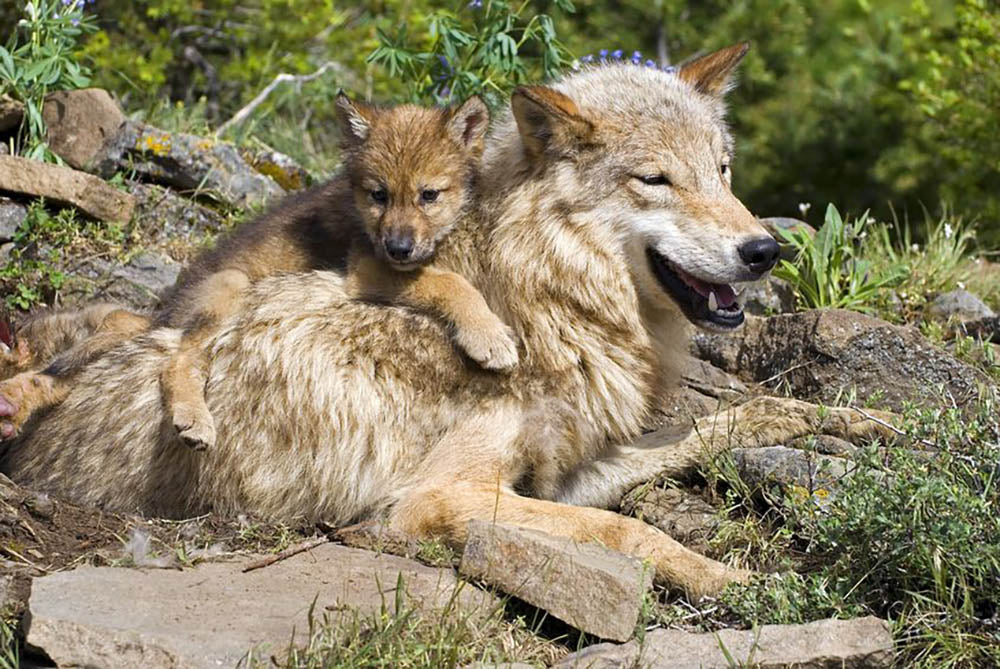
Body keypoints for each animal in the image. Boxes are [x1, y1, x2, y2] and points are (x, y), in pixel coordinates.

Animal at [0, 94, 517, 449]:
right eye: (379, 195)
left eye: (429, 195)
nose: (399, 247)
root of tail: (165, 311)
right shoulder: (366, 267)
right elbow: (449, 282)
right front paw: (489, 336)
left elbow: (444, 274)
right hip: (231, 287)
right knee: (175, 362)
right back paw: (195, 420)